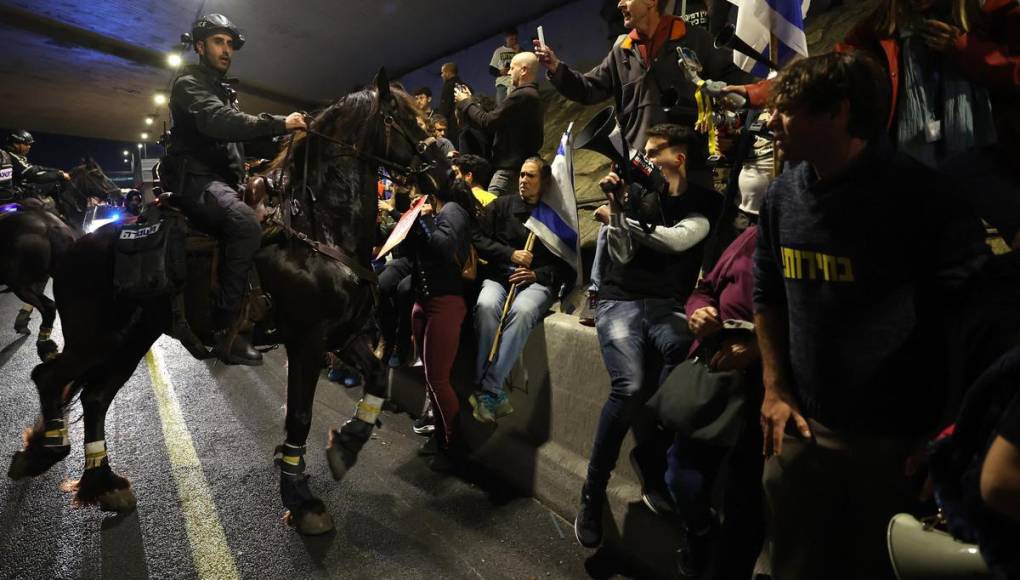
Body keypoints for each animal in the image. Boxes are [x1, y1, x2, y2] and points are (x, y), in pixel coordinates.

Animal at [7, 74, 446, 534]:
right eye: (402, 118)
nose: (446, 167)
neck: (317, 227)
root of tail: (71, 245)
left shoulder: (343, 335)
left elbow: (378, 377)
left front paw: (347, 442)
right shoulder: (307, 340)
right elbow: (300, 416)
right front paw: (301, 498)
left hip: (132, 338)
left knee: (94, 397)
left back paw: (103, 482)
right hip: (95, 337)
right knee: (49, 376)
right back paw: (48, 449)